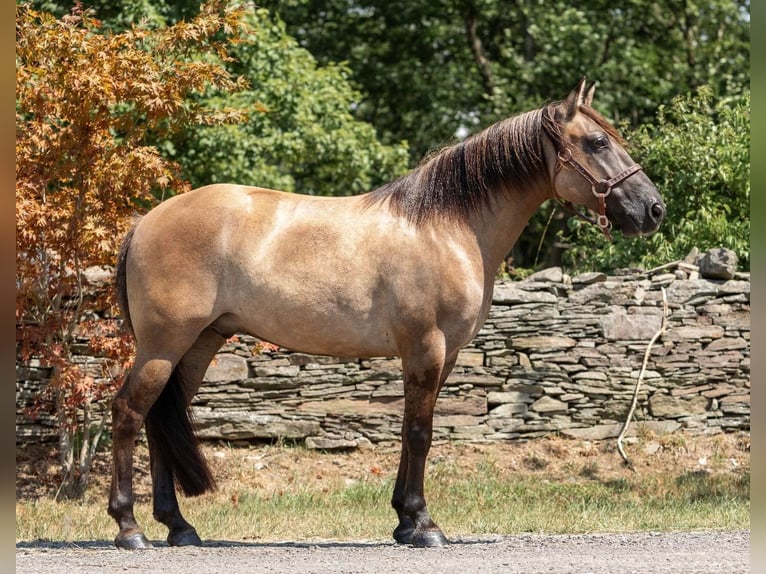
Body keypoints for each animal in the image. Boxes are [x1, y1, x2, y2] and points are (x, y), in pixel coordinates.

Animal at [108, 79, 664, 552]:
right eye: (596, 142)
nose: (653, 209)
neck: (448, 226)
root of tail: (146, 221)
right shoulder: (425, 347)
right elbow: (420, 432)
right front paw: (423, 525)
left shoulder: (443, 355)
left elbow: (410, 429)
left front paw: (403, 521)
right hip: (164, 344)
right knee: (129, 413)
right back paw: (129, 529)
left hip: (198, 344)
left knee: (160, 420)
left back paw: (178, 527)